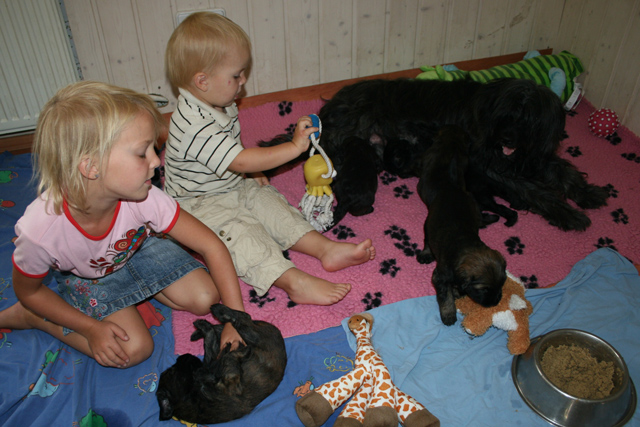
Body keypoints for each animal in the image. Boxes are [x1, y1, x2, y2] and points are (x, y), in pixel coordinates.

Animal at [156, 304, 287, 424]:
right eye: (171, 372)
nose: (183, 356)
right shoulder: (231, 382)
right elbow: (227, 357)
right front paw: (243, 351)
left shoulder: (212, 360)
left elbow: (210, 342)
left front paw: (204, 327)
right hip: (254, 335)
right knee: (242, 318)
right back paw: (220, 311)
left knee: (237, 320)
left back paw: (203, 326)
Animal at [312, 77, 608, 230]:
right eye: (507, 116)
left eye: (528, 120)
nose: (507, 139)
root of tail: (329, 108)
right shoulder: (487, 161)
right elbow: (531, 188)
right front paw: (568, 213)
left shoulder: (531, 155)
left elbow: (562, 169)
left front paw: (588, 193)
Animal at [416, 125, 506, 326]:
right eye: (483, 289)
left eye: (502, 283)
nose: (494, 302)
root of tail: (451, 187)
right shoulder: (440, 277)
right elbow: (445, 296)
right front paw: (449, 314)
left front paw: (458, 292)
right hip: (428, 224)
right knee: (427, 240)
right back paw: (426, 253)